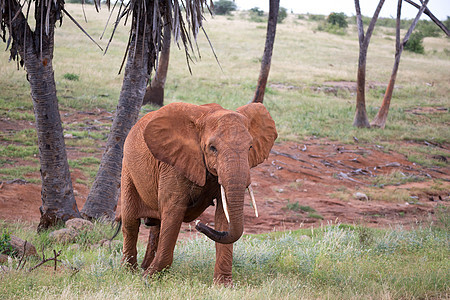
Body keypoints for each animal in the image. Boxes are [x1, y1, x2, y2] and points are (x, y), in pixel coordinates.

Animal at [118, 101, 276, 286]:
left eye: (250, 147)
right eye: (212, 148)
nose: (199, 225)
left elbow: (223, 215)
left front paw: (224, 286)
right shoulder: (173, 164)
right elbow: (173, 212)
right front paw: (148, 279)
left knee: (156, 227)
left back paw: (144, 267)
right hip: (127, 168)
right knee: (131, 222)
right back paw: (129, 271)